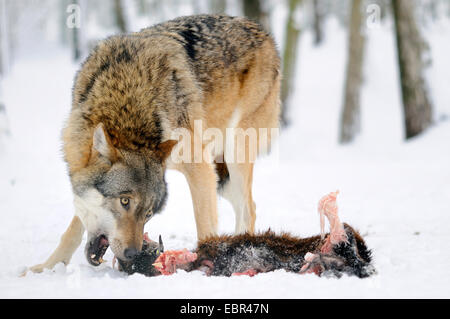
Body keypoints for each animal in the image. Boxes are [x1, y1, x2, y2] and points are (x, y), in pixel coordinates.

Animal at [29, 13, 278, 272]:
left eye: (148, 213)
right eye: (125, 201)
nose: (133, 254)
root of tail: (261, 30)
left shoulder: (200, 167)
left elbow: (206, 226)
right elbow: (74, 227)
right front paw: (47, 267)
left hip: (233, 153)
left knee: (249, 210)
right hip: (222, 174)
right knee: (248, 207)